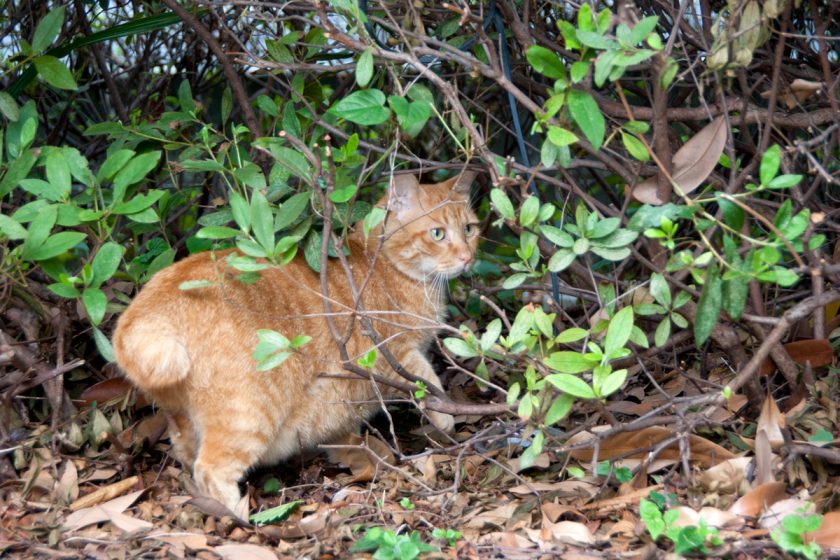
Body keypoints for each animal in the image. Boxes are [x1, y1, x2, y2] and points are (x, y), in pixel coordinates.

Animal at [112, 173, 480, 516]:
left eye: (470, 229)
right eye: (438, 234)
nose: (467, 257)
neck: (382, 264)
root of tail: (148, 305)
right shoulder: (395, 355)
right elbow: (429, 383)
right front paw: (446, 418)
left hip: (181, 417)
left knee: (188, 457)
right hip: (249, 415)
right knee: (210, 469)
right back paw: (240, 518)